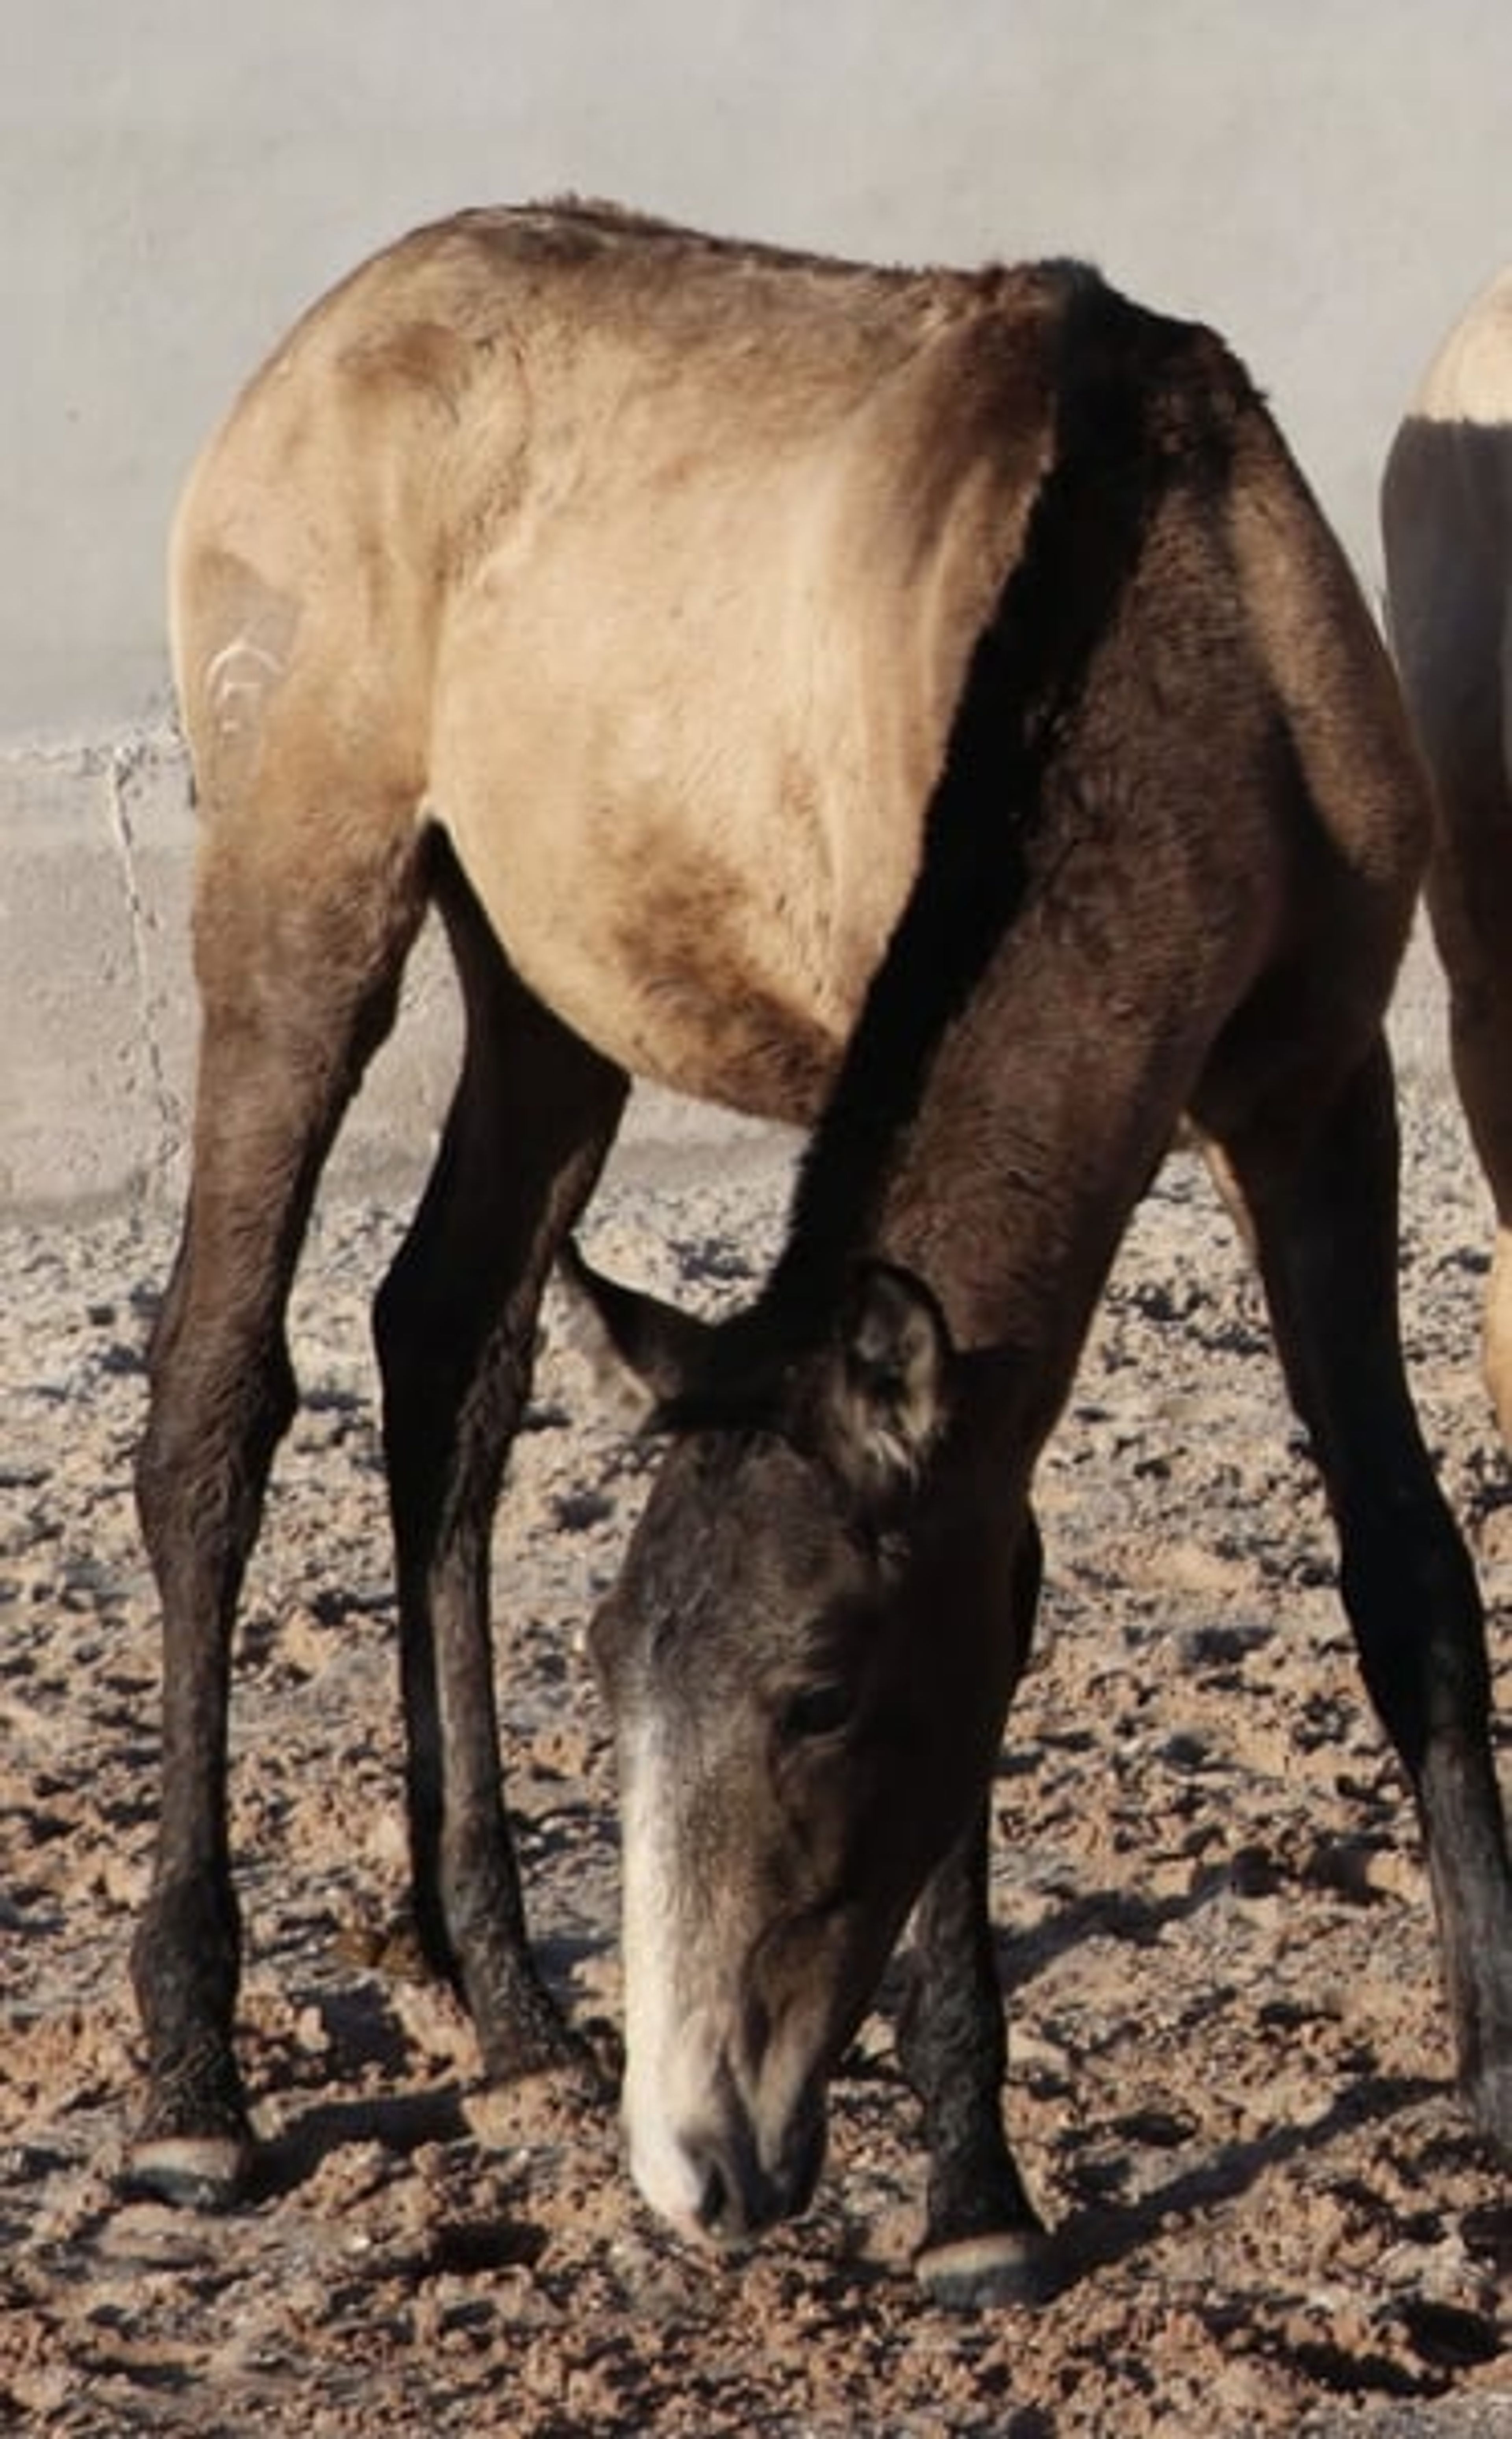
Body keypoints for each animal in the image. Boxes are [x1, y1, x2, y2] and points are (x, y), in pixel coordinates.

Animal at [131, 201, 1512, 2304]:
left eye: (818, 1696)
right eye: (617, 1677)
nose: (696, 2160)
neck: (1173, 630)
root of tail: (321, 337)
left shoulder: (1318, 1101)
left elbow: (1409, 1569)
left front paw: (1503, 2083)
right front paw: (975, 2194)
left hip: (547, 991)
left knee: (448, 1351)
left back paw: (505, 1996)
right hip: (301, 902)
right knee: (216, 1401)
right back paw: (197, 2082)